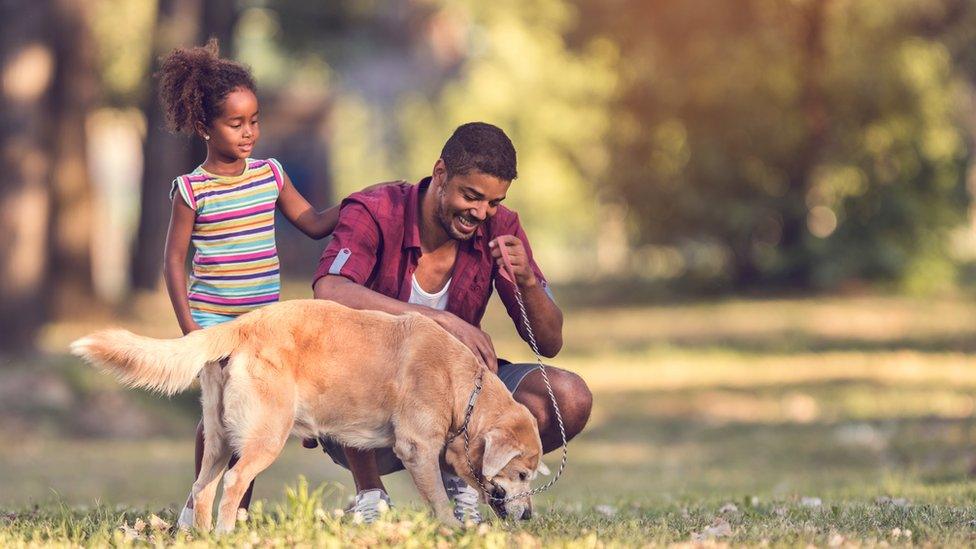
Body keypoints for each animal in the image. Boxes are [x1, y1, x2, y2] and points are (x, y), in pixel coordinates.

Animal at [70, 300, 548, 532]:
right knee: (232, 486)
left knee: (202, 490)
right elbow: (438, 500)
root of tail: (241, 325)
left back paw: (204, 537)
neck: (463, 387)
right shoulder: (417, 450)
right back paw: (227, 534)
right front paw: (453, 530)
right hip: (264, 438)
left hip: (218, 440)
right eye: (523, 475)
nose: (529, 518)